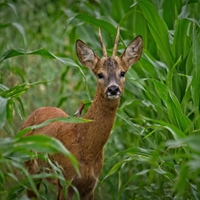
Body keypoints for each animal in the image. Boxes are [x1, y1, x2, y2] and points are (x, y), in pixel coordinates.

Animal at [21, 27, 143, 200]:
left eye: (123, 73)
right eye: (100, 74)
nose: (113, 89)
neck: (86, 149)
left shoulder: (90, 185)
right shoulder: (66, 180)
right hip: (30, 168)